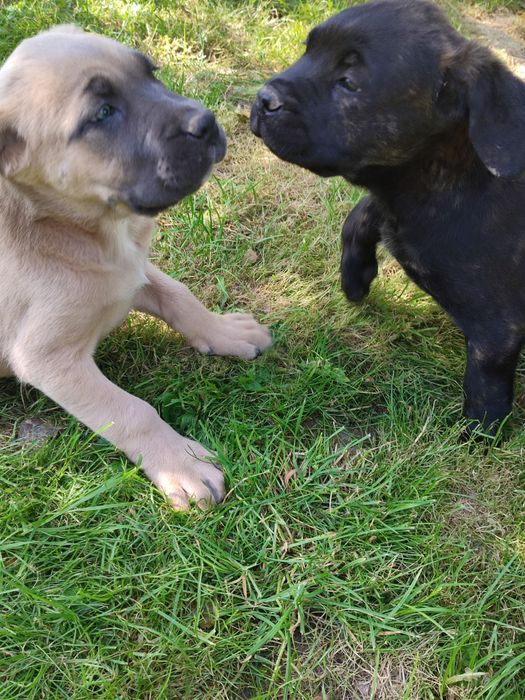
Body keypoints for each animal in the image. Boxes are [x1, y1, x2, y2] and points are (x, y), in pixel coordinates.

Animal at [0, 26, 270, 508]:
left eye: (151, 73)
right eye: (102, 114)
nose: (206, 122)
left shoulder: (134, 272)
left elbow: (181, 296)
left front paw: (226, 332)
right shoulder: (47, 357)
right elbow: (130, 410)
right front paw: (181, 464)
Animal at [249, 0, 524, 434]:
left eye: (349, 82)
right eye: (307, 51)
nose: (263, 99)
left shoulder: (498, 326)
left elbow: (485, 383)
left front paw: (480, 434)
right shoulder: (389, 196)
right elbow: (360, 216)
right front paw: (355, 276)